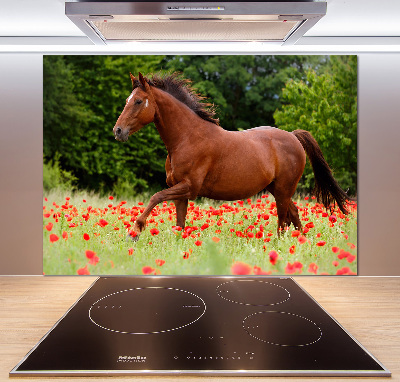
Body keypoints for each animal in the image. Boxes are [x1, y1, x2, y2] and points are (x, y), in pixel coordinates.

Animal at [113, 73, 350, 240]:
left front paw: (135, 231)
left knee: (283, 218)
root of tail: (293, 136)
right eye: (127, 99)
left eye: (138, 101)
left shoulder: (189, 187)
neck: (187, 137)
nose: (118, 131)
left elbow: (155, 197)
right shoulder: (180, 192)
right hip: (277, 189)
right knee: (293, 213)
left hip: (283, 190)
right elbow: (179, 224)